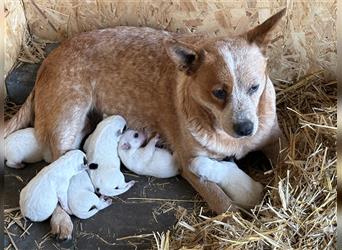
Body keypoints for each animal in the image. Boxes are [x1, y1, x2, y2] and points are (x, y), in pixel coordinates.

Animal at [6, 8, 288, 239]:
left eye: (255, 87)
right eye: (219, 93)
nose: (246, 129)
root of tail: (48, 59)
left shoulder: (274, 138)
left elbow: (286, 164)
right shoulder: (189, 163)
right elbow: (222, 203)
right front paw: (238, 223)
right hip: (69, 119)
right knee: (53, 167)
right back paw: (61, 221)